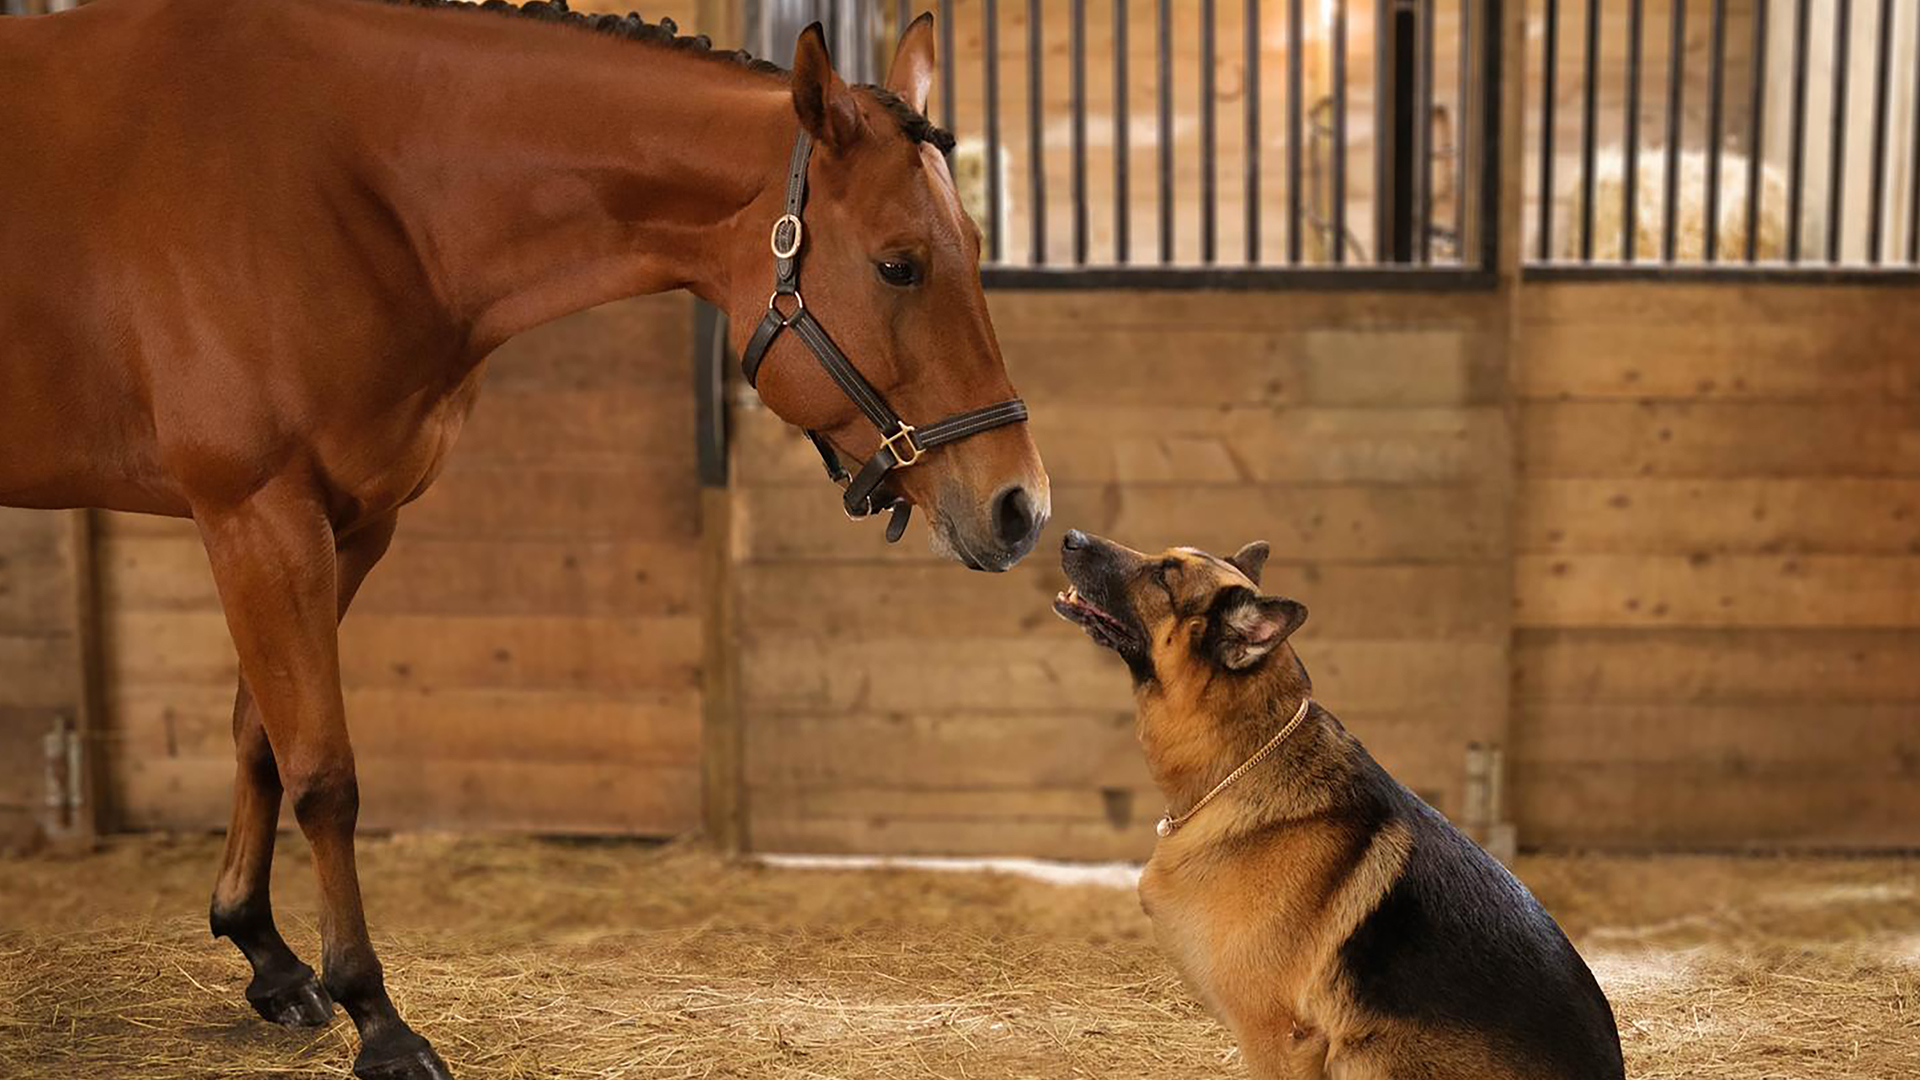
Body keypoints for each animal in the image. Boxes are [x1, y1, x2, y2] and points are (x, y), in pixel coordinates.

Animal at [0, 2, 1050, 1076]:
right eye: (898, 264)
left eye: (973, 242)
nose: (1020, 507)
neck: (336, 184)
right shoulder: (259, 515)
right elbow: (325, 773)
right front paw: (377, 1017)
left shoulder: (347, 525)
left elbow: (264, 736)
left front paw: (266, 956)